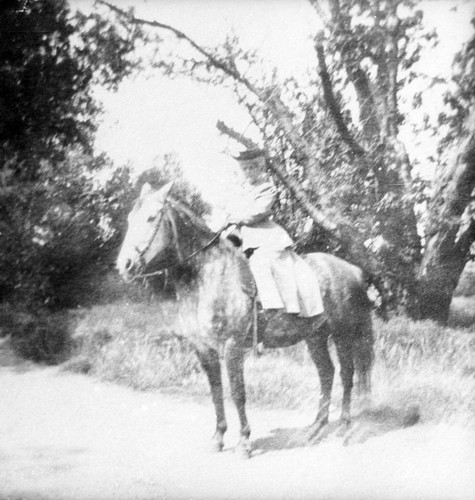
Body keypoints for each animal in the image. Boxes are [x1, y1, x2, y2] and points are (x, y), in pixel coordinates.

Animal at [117, 183, 374, 458]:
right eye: (129, 218)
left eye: (151, 217)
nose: (124, 265)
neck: (209, 275)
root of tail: (353, 270)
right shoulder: (204, 349)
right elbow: (216, 392)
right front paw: (218, 437)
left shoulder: (232, 346)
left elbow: (237, 393)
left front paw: (244, 442)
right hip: (315, 337)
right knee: (327, 373)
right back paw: (315, 429)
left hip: (342, 334)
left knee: (347, 374)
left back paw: (345, 428)